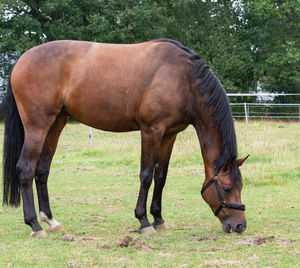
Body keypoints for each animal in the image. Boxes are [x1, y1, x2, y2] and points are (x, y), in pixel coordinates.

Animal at [1, 38, 248, 237]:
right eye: (227, 188)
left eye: (241, 186)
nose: (240, 226)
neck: (182, 78)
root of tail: (21, 60)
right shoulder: (151, 131)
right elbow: (146, 175)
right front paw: (144, 222)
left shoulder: (170, 134)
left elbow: (161, 177)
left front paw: (159, 219)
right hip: (37, 126)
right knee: (26, 169)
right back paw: (35, 225)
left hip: (56, 123)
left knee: (42, 170)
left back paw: (51, 221)